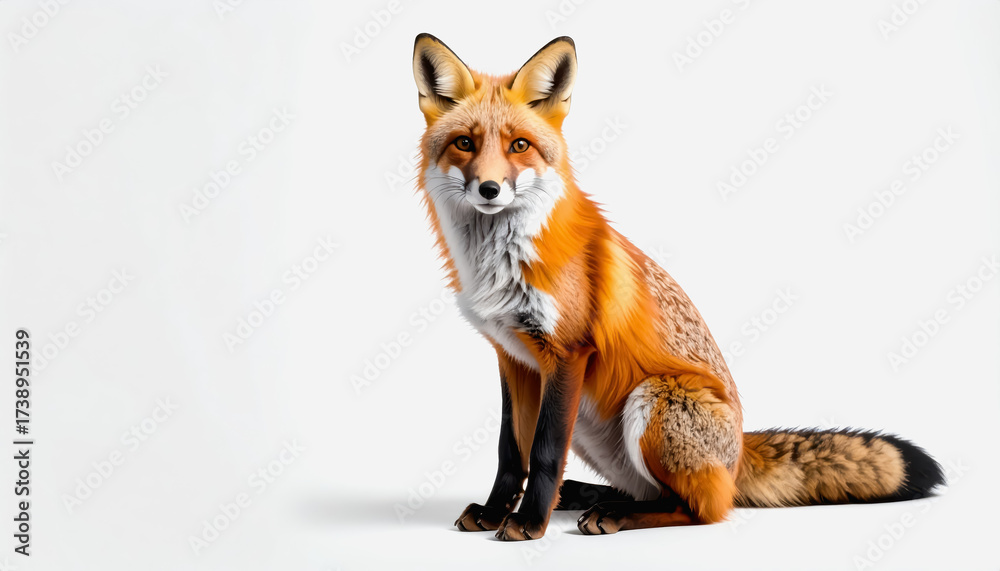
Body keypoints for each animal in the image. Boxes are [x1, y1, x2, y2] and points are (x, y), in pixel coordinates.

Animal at [410, 33, 944, 541]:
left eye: (519, 145)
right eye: (465, 143)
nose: (489, 190)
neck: (501, 261)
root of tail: (738, 453)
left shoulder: (566, 353)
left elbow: (542, 454)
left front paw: (528, 523)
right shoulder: (515, 358)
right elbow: (510, 451)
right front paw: (496, 510)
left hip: (652, 400)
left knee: (703, 507)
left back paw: (612, 514)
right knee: (650, 490)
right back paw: (590, 495)